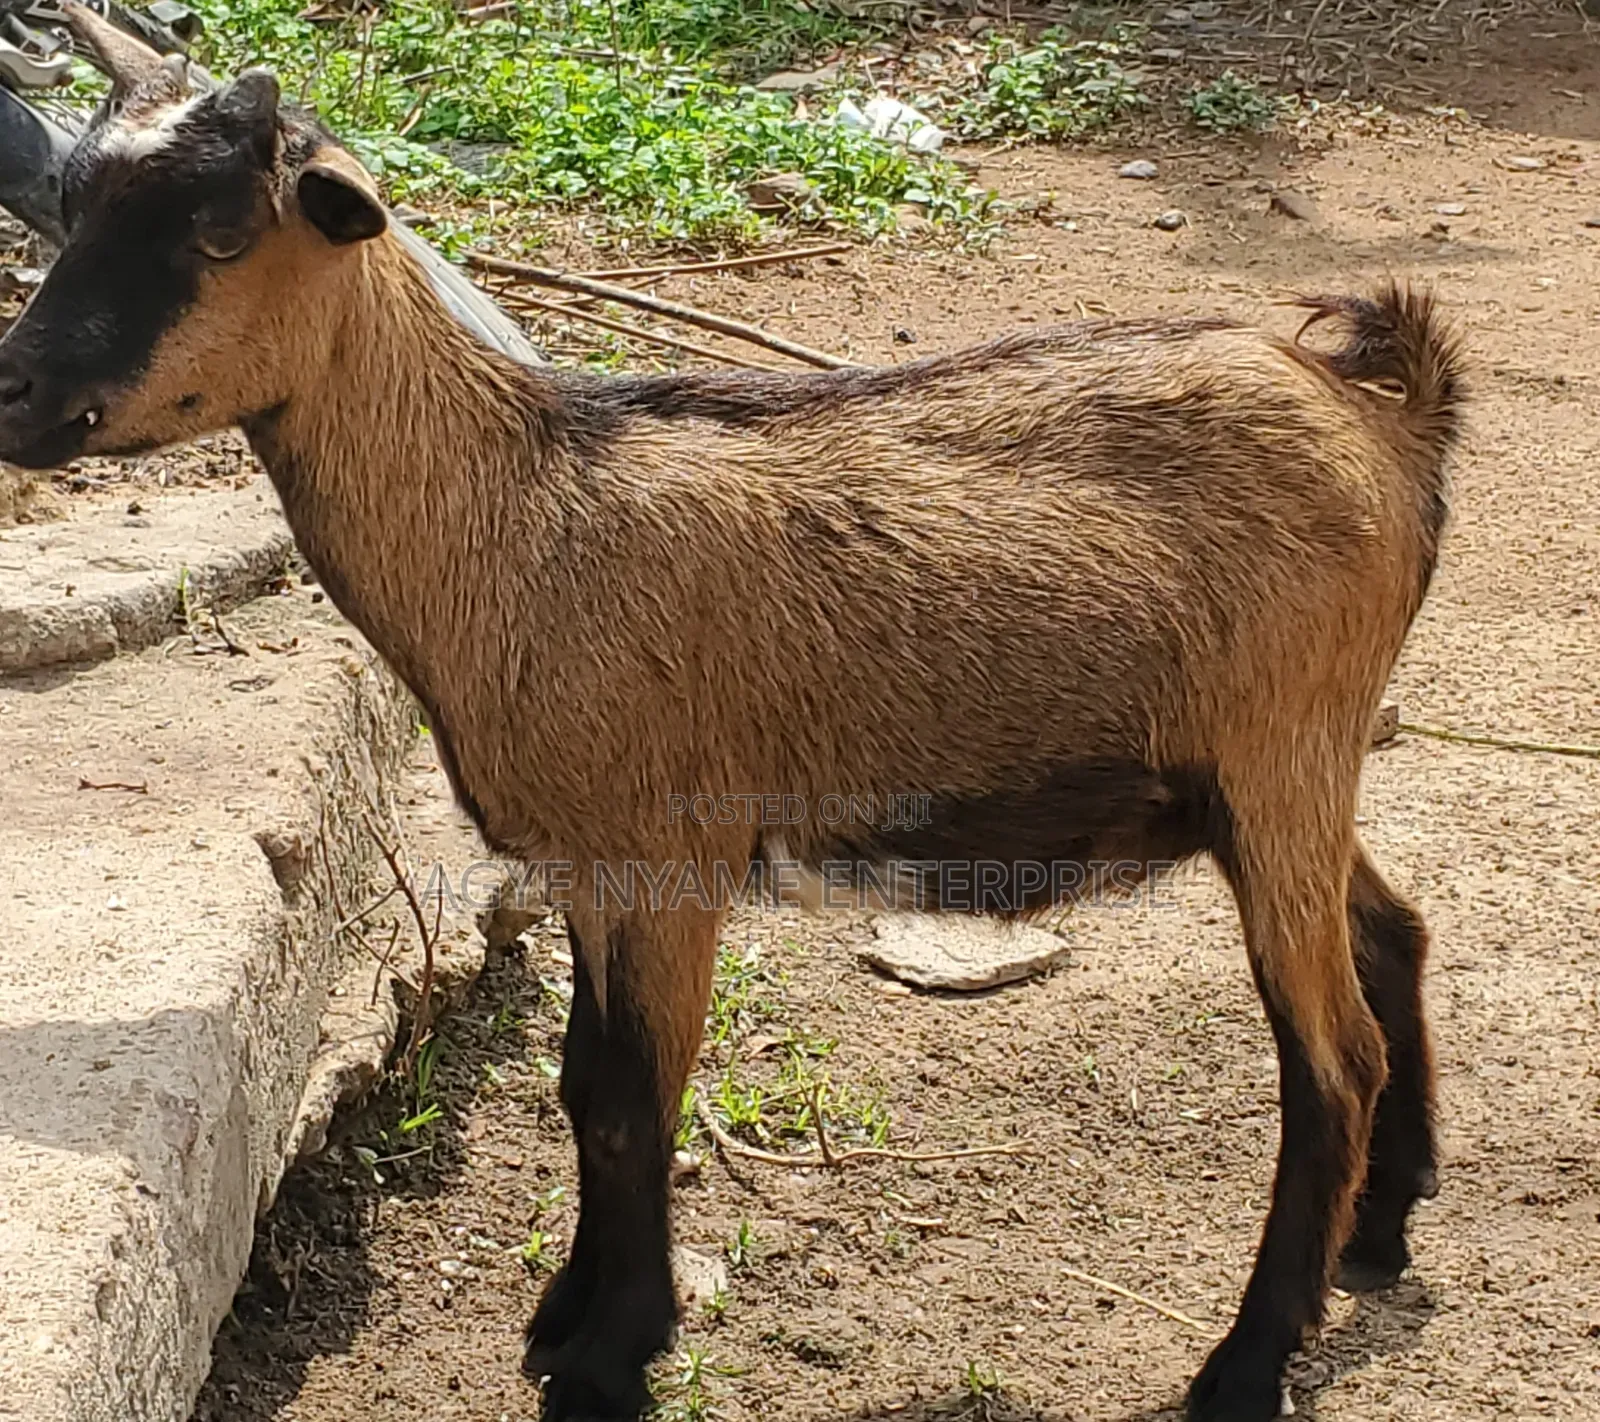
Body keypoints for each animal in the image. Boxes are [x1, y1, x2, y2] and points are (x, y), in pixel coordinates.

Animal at [0, 10, 1463, 1420]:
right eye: (70, 203)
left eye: (219, 226)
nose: (13, 396)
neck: (522, 518)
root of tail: (1386, 414)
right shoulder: (590, 859)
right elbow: (585, 1081)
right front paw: (564, 1318)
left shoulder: (673, 850)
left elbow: (637, 1098)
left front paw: (608, 1360)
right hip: (1281, 767)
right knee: (1391, 933)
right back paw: (1382, 1228)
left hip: (1282, 751)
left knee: (1332, 1059)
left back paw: (1250, 1362)